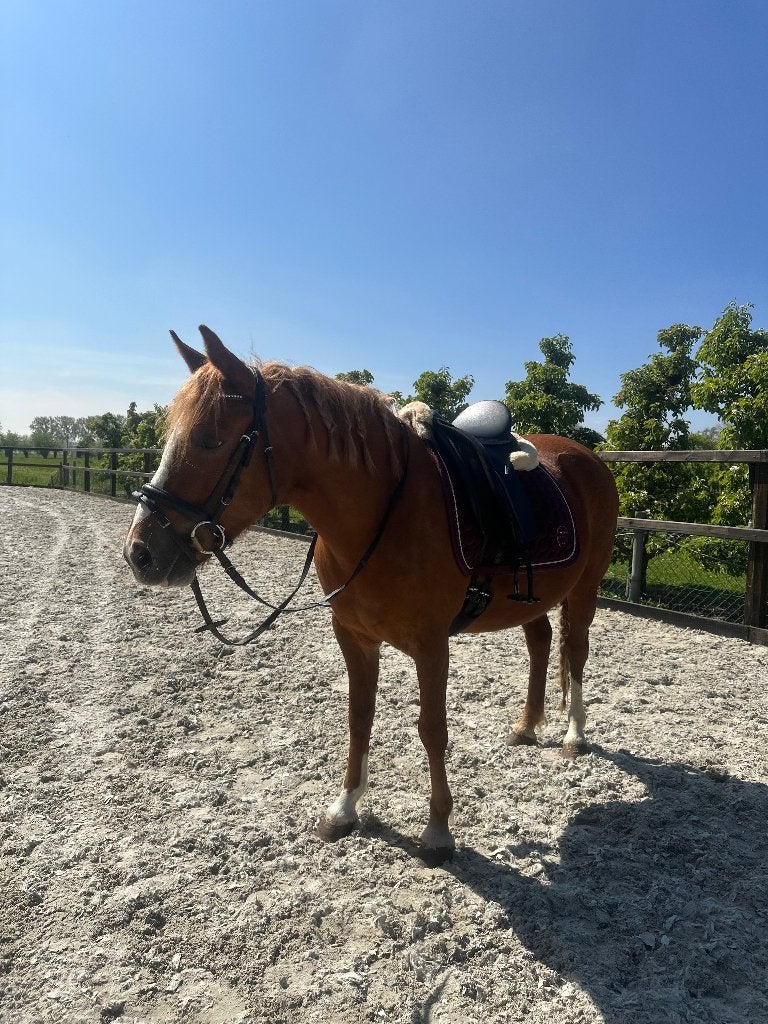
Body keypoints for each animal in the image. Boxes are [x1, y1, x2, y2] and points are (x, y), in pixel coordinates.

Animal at [124, 326, 619, 863]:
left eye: (210, 439)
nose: (140, 553)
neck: (384, 511)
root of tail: (587, 457)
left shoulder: (432, 645)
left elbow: (432, 728)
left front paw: (438, 832)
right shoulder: (353, 636)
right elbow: (359, 716)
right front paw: (344, 808)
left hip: (585, 587)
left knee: (575, 650)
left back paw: (574, 735)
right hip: (530, 597)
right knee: (541, 642)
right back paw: (528, 726)